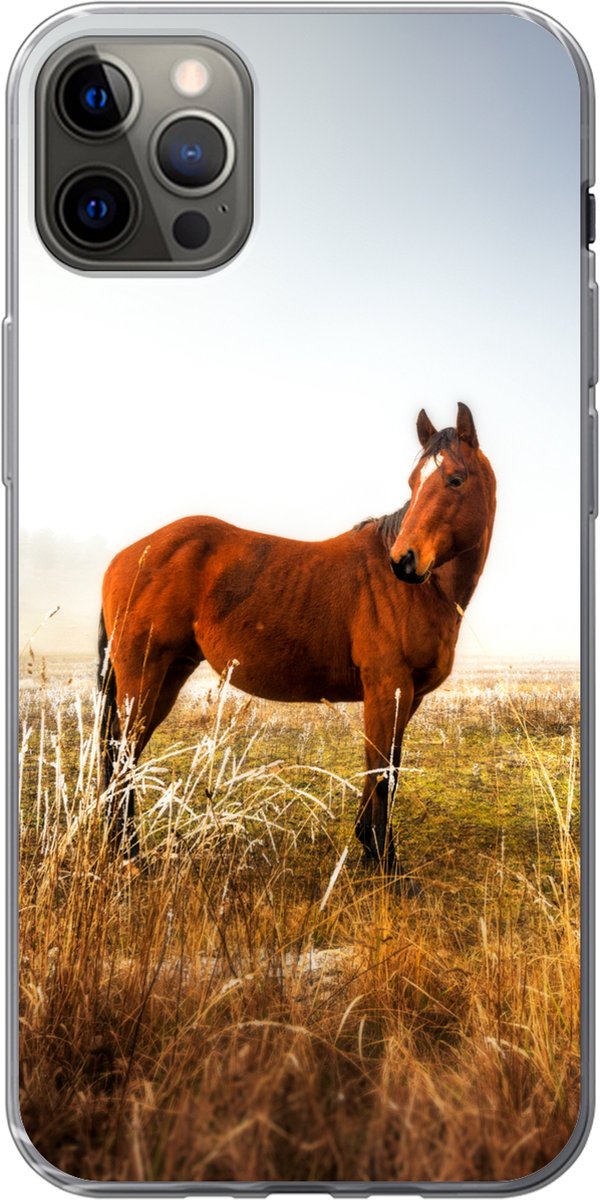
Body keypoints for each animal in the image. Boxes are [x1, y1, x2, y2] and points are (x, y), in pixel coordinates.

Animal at [98, 403, 496, 879]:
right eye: (413, 483)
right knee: (122, 755)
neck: (423, 590)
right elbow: (381, 772)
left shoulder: (408, 696)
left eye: (454, 479)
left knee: (124, 753)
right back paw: (128, 856)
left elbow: (387, 769)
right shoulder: (387, 688)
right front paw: (384, 863)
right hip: (142, 675)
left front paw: (371, 850)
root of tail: (126, 557)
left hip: (167, 675)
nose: (403, 561)